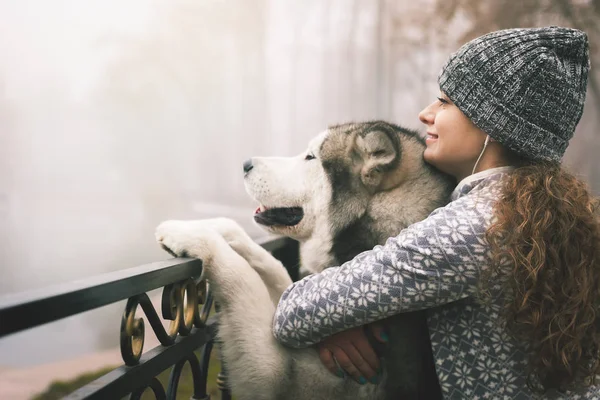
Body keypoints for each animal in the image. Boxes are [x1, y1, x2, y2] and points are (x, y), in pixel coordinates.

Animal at [157, 120, 452, 398]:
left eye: (311, 157)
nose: (245, 163)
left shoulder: (282, 376)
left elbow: (243, 277)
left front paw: (187, 234)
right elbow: (274, 268)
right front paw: (216, 225)